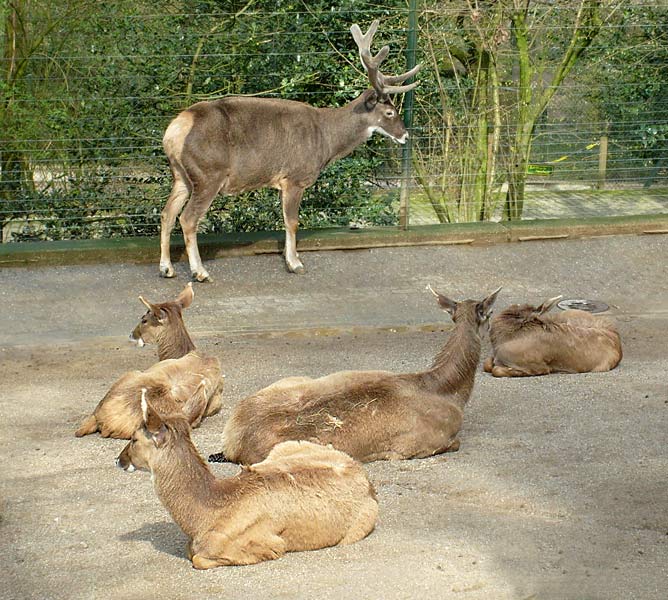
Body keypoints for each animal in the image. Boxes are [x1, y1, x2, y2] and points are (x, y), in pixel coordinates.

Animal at [114, 392, 376, 568]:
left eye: (134, 438)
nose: (119, 459)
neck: (203, 518)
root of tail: (366, 479)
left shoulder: (269, 544)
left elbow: (198, 558)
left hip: (360, 526)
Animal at [159, 19, 420, 282]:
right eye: (390, 112)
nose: (405, 135)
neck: (326, 139)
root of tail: (173, 131)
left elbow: (285, 221)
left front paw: (290, 258)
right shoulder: (295, 177)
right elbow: (293, 222)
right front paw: (295, 263)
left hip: (182, 175)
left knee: (167, 214)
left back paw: (166, 268)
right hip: (209, 173)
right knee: (187, 218)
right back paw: (200, 272)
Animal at [209, 286, 500, 464]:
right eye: (489, 315)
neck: (448, 392)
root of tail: (232, 442)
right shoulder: (419, 444)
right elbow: (456, 442)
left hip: (294, 379)